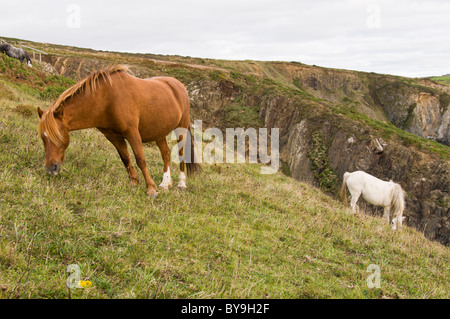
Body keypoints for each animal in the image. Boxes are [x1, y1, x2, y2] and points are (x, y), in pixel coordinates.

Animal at [37, 64, 200, 196]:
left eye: (59, 136)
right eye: (43, 138)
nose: (51, 167)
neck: (106, 99)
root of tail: (178, 85)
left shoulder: (132, 132)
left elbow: (140, 159)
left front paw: (151, 189)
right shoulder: (113, 136)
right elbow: (125, 158)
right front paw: (134, 182)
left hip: (181, 128)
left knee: (181, 154)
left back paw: (181, 184)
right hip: (159, 131)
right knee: (165, 154)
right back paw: (166, 183)